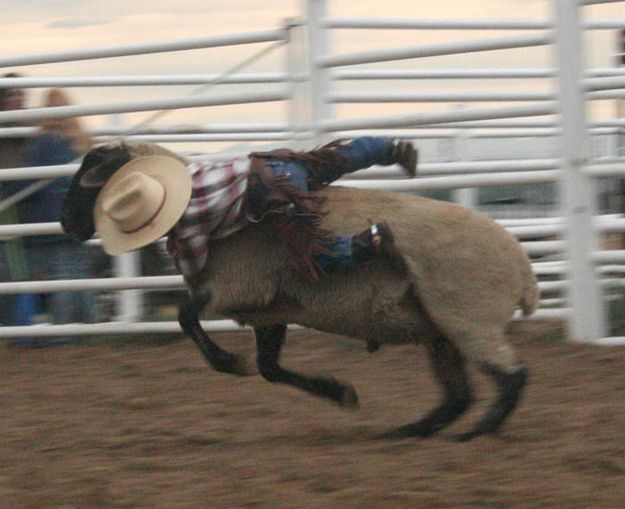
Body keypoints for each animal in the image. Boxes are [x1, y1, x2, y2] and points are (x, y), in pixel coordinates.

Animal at [66, 143, 540, 440]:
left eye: (91, 173)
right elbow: (270, 368)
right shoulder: (269, 311)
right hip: (442, 330)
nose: (67, 226)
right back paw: (413, 430)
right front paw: (341, 392)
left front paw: (228, 362)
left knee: (511, 377)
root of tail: (522, 266)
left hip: (468, 316)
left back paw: (478, 432)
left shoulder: (239, 287)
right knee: (459, 395)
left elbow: (187, 317)